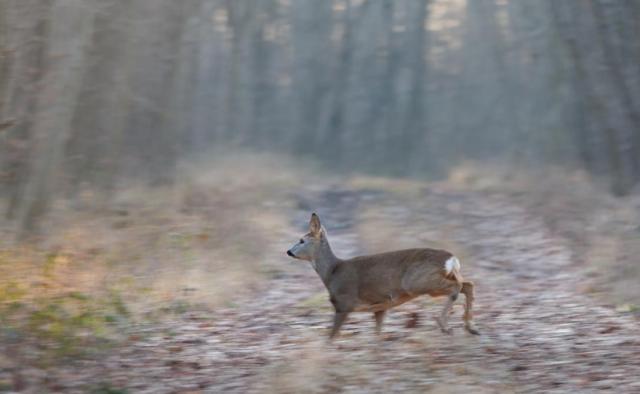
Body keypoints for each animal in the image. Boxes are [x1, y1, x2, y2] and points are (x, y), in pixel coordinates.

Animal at [286, 212, 480, 338]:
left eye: (301, 240)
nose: (288, 251)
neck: (332, 272)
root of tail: (450, 258)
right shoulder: (380, 306)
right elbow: (378, 335)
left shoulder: (344, 303)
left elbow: (332, 336)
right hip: (437, 278)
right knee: (467, 284)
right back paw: (471, 327)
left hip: (417, 282)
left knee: (457, 287)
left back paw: (445, 326)